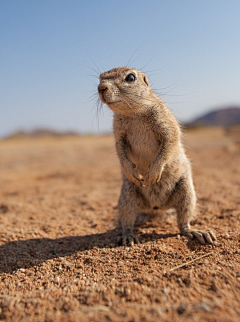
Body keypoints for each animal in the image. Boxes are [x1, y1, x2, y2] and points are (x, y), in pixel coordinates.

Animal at [97, 66, 216, 247]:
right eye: (99, 78)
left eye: (130, 78)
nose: (101, 88)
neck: (133, 112)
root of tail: (156, 207)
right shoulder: (118, 132)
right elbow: (120, 149)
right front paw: (129, 170)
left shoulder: (165, 122)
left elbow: (170, 141)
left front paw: (153, 172)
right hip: (127, 196)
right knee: (127, 220)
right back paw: (127, 235)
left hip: (187, 192)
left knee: (183, 222)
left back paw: (195, 232)